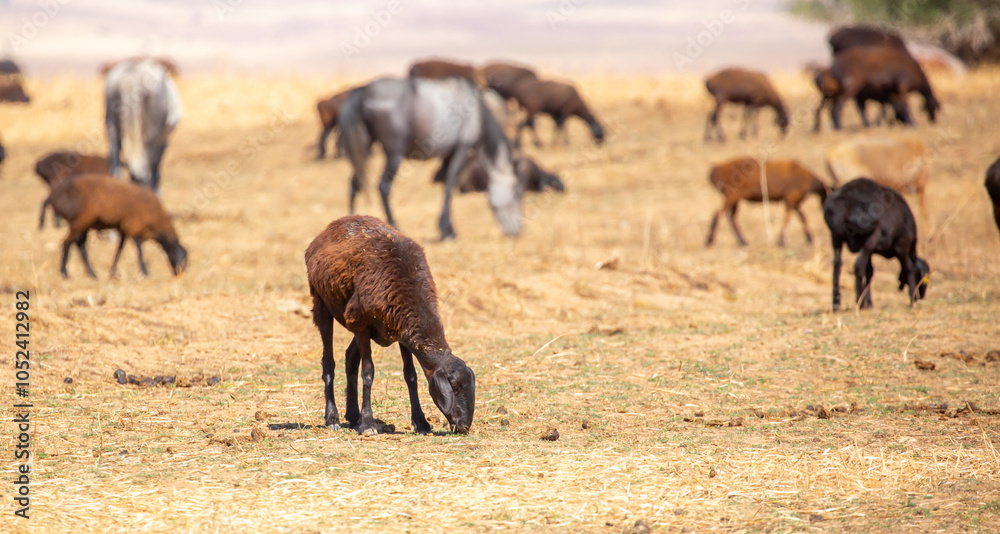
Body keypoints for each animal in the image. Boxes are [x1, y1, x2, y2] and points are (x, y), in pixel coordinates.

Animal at [42, 173, 187, 279]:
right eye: (181, 260)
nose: (179, 274)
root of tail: (52, 195)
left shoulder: (123, 228)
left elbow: (119, 249)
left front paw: (113, 273)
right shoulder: (133, 226)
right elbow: (139, 250)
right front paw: (145, 272)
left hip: (83, 224)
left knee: (79, 244)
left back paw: (92, 273)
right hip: (80, 220)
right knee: (67, 242)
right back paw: (64, 273)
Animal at [305, 215, 476, 435]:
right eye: (454, 386)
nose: (464, 426)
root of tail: (329, 229)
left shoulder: (402, 333)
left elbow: (410, 375)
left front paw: (421, 422)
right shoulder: (360, 324)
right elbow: (368, 373)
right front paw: (368, 424)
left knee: (350, 358)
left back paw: (352, 416)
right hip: (322, 304)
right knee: (328, 362)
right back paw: (332, 418)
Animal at [823, 177, 929, 310]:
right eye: (924, 278)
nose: (921, 297)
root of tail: (849, 200)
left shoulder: (870, 252)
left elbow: (869, 272)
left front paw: (869, 302)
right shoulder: (901, 246)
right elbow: (909, 267)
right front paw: (912, 299)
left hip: (836, 238)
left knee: (837, 267)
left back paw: (836, 303)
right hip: (870, 239)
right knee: (858, 267)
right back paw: (859, 302)